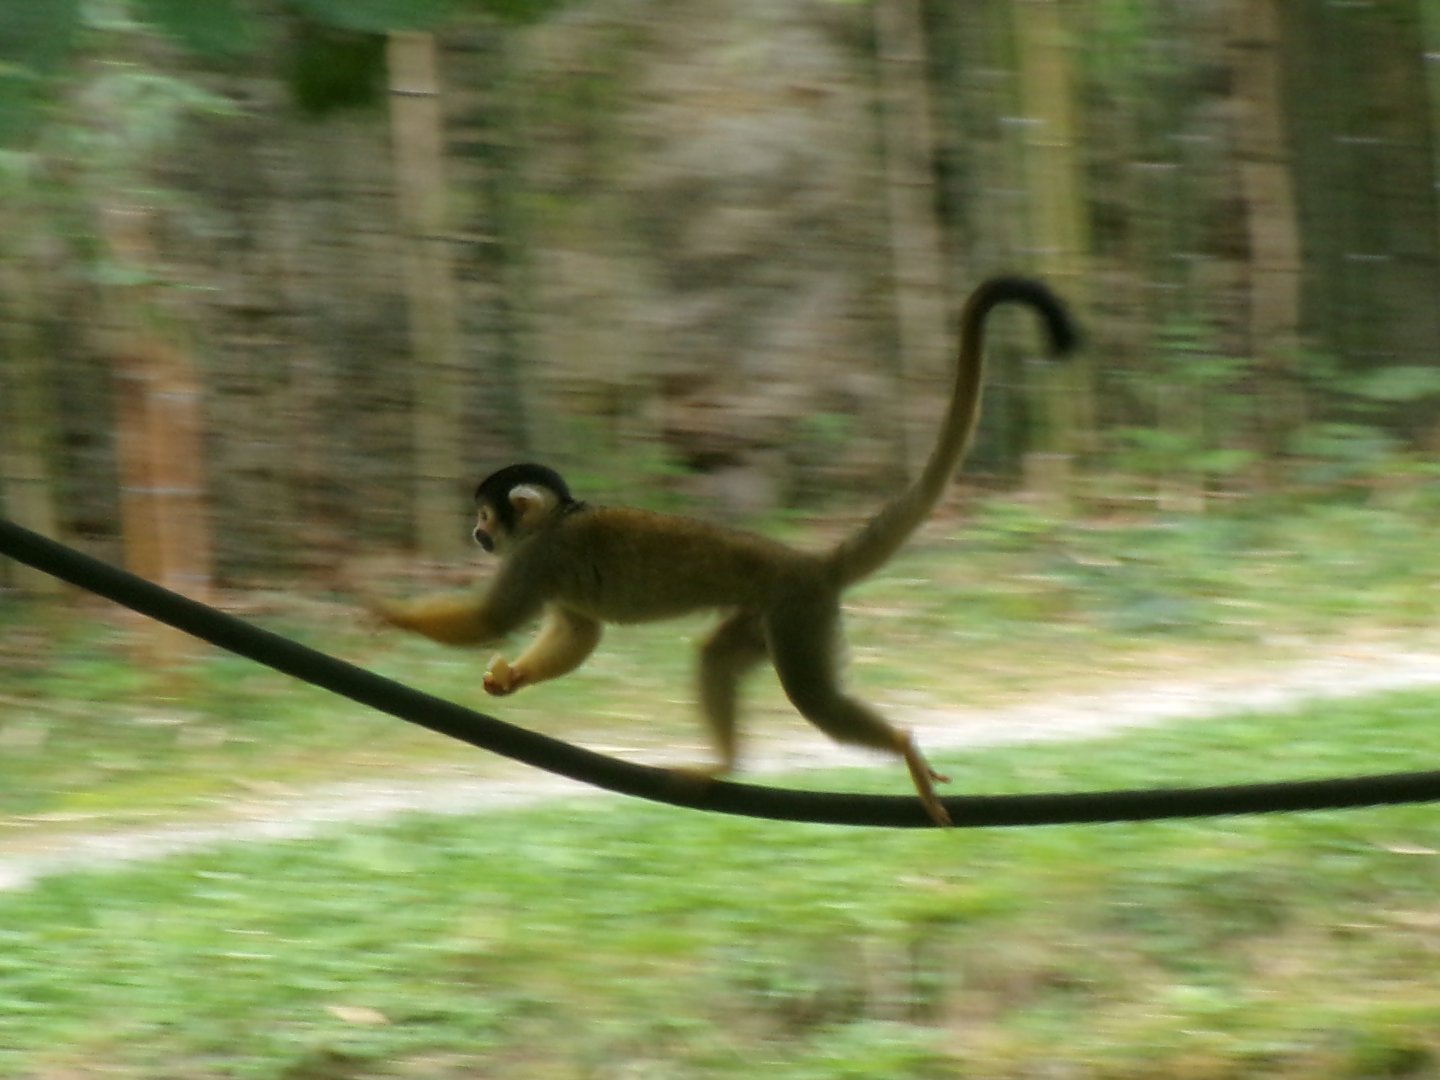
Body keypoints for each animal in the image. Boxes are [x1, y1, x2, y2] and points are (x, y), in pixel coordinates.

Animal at [371, 276, 1078, 825]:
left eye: (484, 516)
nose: (476, 535)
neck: (552, 523)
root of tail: (812, 563)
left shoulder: (536, 557)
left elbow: (495, 618)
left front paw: (388, 614)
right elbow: (580, 632)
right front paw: (510, 676)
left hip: (797, 612)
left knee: (812, 697)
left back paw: (897, 746)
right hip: (767, 617)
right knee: (719, 655)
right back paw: (733, 758)